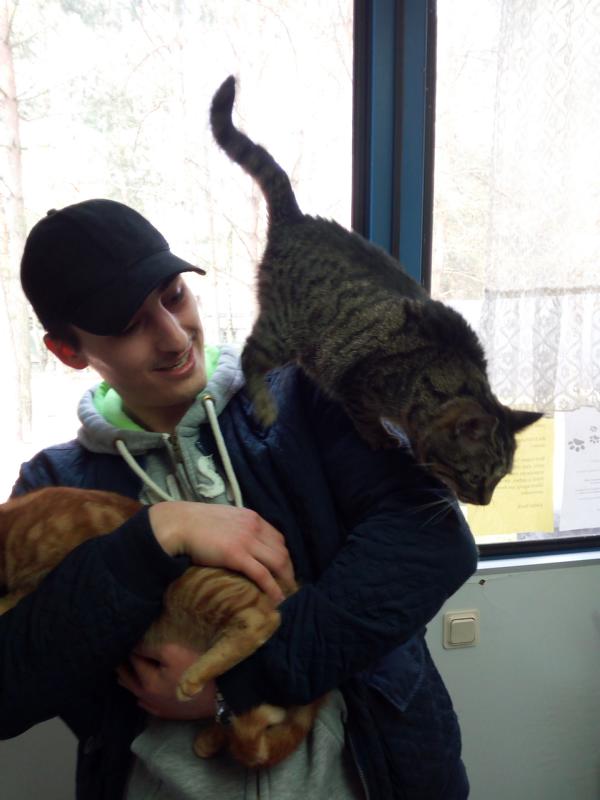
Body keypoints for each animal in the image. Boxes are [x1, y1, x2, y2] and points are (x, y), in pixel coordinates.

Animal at [0, 486, 323, 767]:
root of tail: (292, 586)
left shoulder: (53, 564)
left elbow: (20, 594)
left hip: (199, 585)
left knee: (262, 619)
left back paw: (193, 677)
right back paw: (209, 739)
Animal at [209, 75, 542, 506]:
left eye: (501, 478)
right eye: (475, 477)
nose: (483, 502)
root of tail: (296, 218)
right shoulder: (357, 382)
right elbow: (364, 418)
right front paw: (381, 437)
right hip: (283, 331)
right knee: (250, 355)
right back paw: (265, 406)